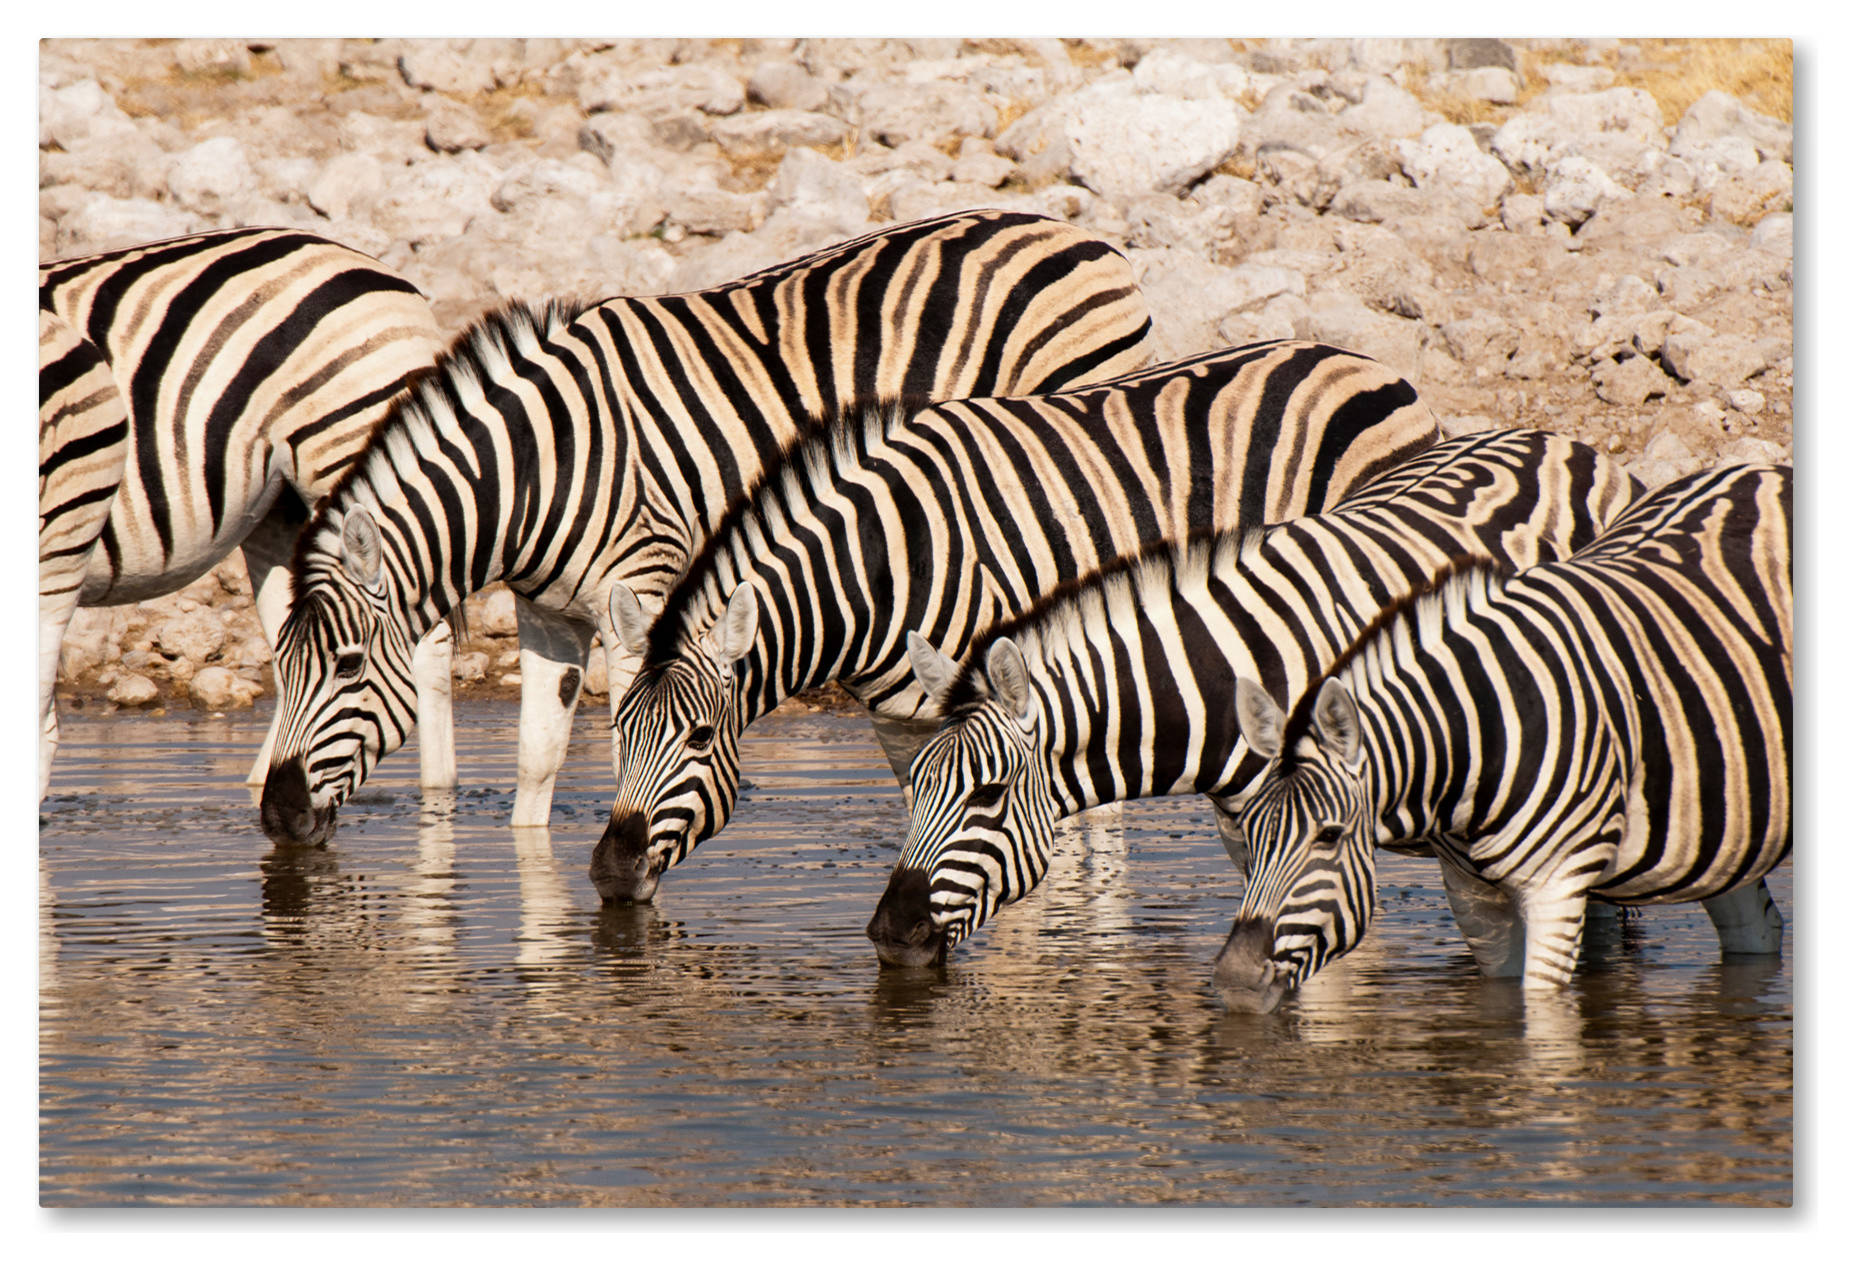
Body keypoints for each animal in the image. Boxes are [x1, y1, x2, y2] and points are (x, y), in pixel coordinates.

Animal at [38, 227, 448, 799]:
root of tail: (377, 268)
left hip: (352, 451)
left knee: (423, 642)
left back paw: (439, 799)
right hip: (284, 510)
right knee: (295, 641)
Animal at [257, 209, 1155, 847]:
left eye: (344, 665)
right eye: (281, 669)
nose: (277, 818)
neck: (543, 464)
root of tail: (1086, 238)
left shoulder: (642, 591)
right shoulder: (547, 611)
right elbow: (537, 755)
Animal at [593, 340, 1443, 903]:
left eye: (701, 737)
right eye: (618, 731)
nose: (608, 874)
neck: (883, 561)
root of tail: (1367, 363)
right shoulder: (905, 722)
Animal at [865, 428, 1641, 967]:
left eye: (988, 795)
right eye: (916, 785)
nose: (888, 936)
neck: (1233, 678)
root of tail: (1572, 446)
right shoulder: (1253, 847)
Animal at [1217, 462, 1791, 1009]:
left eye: (1329, 836)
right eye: (1248, 833)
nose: (1236, 980)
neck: (1474, 741)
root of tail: (1762, 469)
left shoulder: (1558, 885)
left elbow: (1541, 1009)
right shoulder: (1472, 897)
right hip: (1728, 828)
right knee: (1757, 927)